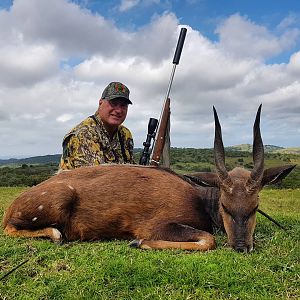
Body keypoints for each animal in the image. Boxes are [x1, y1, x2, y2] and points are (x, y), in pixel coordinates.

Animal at [2, 104, 296, 252]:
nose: (241, 247)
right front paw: (137, 242)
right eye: (225, 205)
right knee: (11, 229)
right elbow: (208, 239)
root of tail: (11, 207)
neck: (199, 199)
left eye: (255, 206)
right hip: (56, 201)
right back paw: (56, 234)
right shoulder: (159, 224)